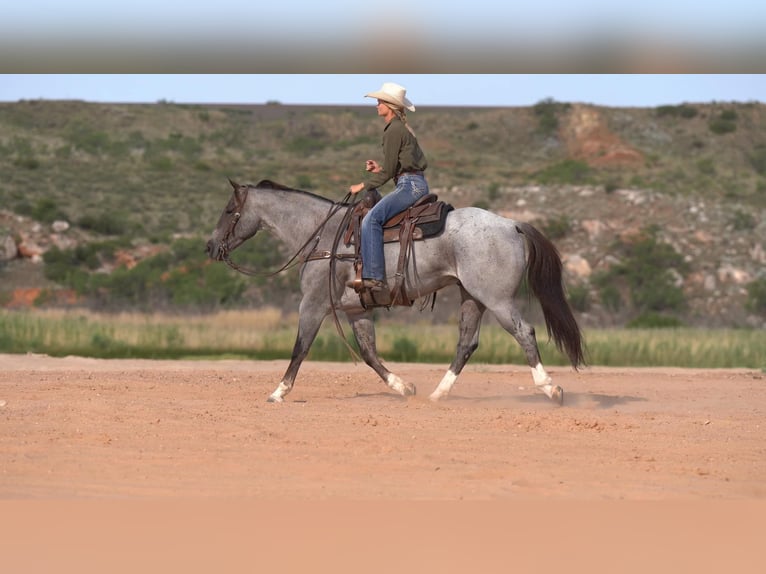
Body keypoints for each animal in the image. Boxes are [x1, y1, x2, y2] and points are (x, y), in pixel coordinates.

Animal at [206, 179, 585, 404]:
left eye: (229, 210)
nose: (210, 247)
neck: (322, 235)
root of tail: (511, 224)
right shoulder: (356, 310)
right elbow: (369, 353)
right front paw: (403, 387)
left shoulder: (312, 304)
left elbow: (300, 348)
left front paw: (278, 392)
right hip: (471, 298)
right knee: (467, 343)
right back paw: (437, 394)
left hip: (497, 300)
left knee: (524, 332)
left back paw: (550, 387)